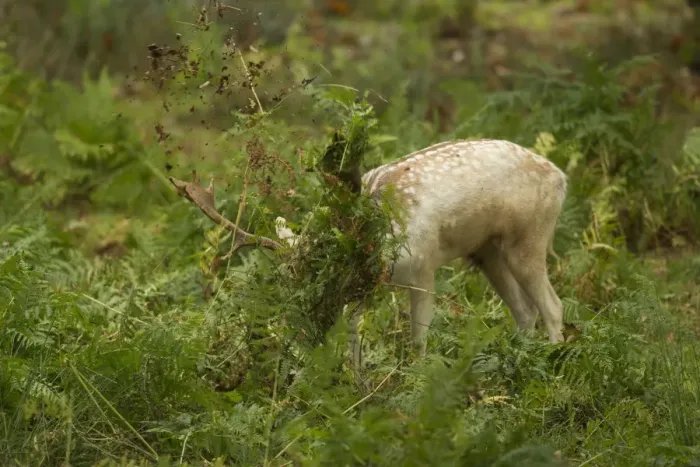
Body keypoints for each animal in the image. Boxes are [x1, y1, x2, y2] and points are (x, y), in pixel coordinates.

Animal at [169, 138, 568, 374]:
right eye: (284, 278)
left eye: (316, 273)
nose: (289, 328)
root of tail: (561, 178)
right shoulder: (361, 288)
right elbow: (354, 335)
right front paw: (358, 384)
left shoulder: (423, 268)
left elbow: (418, 338)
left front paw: (415, 381)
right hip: (486, 251)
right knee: (525, 311)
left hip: (529, 238)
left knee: (553, 305)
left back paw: (553, 363)